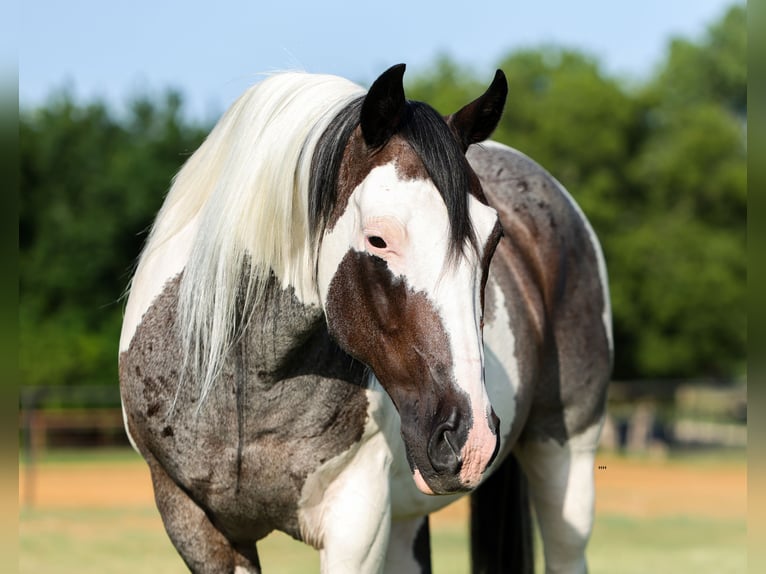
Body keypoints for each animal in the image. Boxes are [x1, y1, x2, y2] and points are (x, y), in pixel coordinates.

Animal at [119, 63, 612, 574]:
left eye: (494, 238)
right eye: (378, 239)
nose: (470, 440)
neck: (247, 386)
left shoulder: (356, 522)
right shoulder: (194, 524)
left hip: (567, 458)